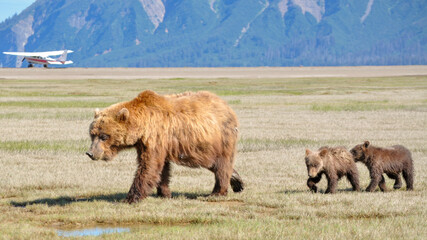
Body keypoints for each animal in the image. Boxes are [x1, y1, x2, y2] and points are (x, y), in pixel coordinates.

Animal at [86, 91, 244, 203]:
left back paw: (217, 192)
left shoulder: (155, 137)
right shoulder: (150, 144)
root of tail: (227, 106)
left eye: (104, 136)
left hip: (220, 138)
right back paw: (237, 181)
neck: (142, 126)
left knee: (221, 164)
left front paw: (130, 197)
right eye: (92, 134)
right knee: (216, 164)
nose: (90, 153)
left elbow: (148, 166)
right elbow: (162, 168)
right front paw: (165, 193)